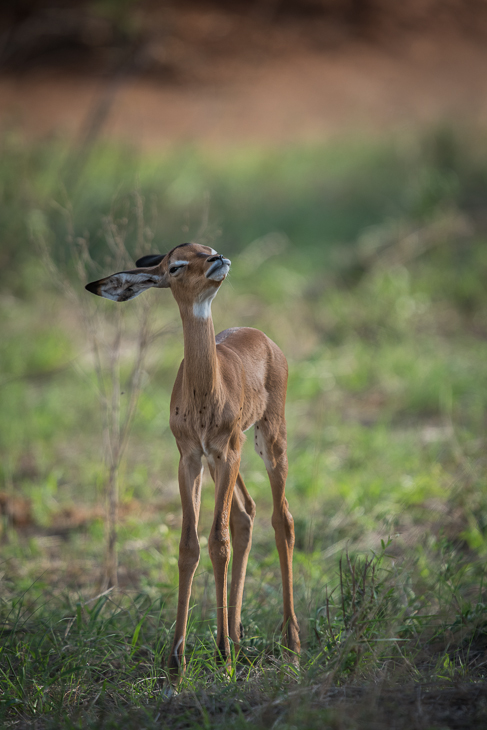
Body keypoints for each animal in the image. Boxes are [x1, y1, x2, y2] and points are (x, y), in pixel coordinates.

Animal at [87, 242, 302, 672]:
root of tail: (262, 337)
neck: (204, 391)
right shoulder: (190, 458)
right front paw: (177, 660)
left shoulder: (225, 453)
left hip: (267, 441)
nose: (218, 259)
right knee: (246, 514)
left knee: (281, 518)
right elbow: (189, 546)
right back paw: (237, 634)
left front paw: (221, 656)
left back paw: (290, 644)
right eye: (176, 265)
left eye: (206, 248)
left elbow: (217, 542)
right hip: (229, 459)